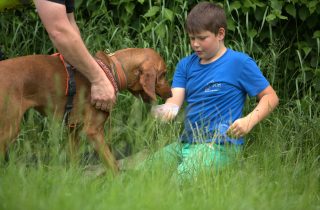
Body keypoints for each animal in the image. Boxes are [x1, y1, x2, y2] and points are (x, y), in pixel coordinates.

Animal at [0, 48, 172, 175]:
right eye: (163, 74)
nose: (171, 94)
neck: (111, 70)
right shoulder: (93, 132)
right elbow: (113, 165)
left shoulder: (73, 131)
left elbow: (74, 166)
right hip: (9, 130)